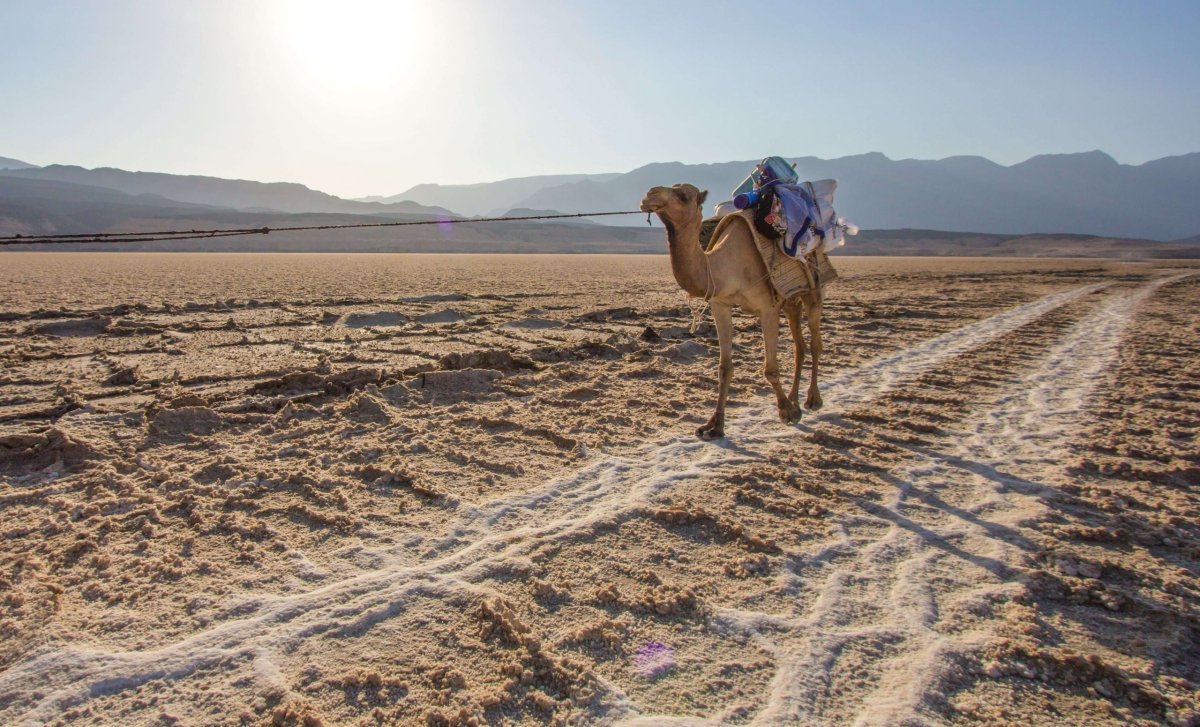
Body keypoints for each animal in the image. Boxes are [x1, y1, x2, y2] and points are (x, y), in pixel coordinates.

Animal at [638, 184, 825, 441]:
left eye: (683, 195)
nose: (650, 195)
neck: (723, 266)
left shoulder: (767, 308)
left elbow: (770, 369)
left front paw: (787, 412)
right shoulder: (721, 305)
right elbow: (724, 368)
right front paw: (714, 426)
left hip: (812, 289)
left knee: (815, 343)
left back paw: (812, 400)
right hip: (789, 300)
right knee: (800, 346)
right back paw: (796, 400)